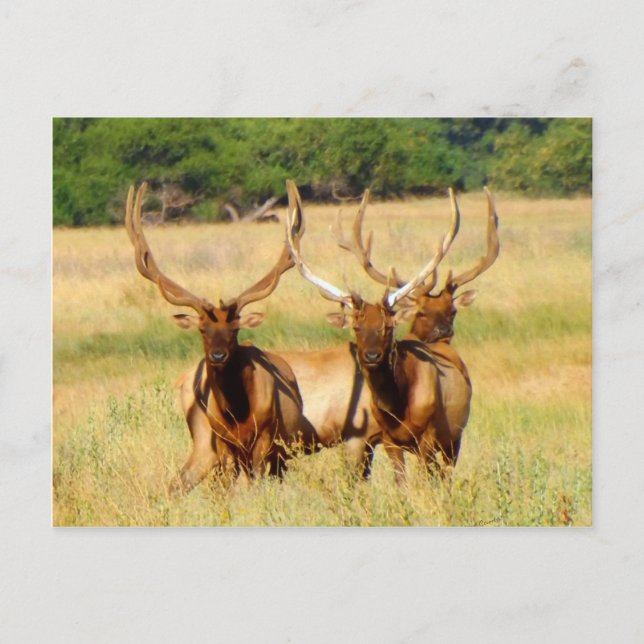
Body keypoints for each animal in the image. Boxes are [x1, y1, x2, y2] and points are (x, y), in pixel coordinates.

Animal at [124, 183, 316, 492]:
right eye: (203, 329)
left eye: (234, 329)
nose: (218, 355)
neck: (237, 412)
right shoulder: (223, 441)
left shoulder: (264, 437)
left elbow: (255, 483)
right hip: (206, 442)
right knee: (182, 482)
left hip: (281, 447)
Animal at [285, 182, 470, 485]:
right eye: (356, 327)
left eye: (388, 326)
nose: (372, 356)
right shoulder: (381, 439)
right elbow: (396, 482)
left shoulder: (421, 436)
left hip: (453, 438)